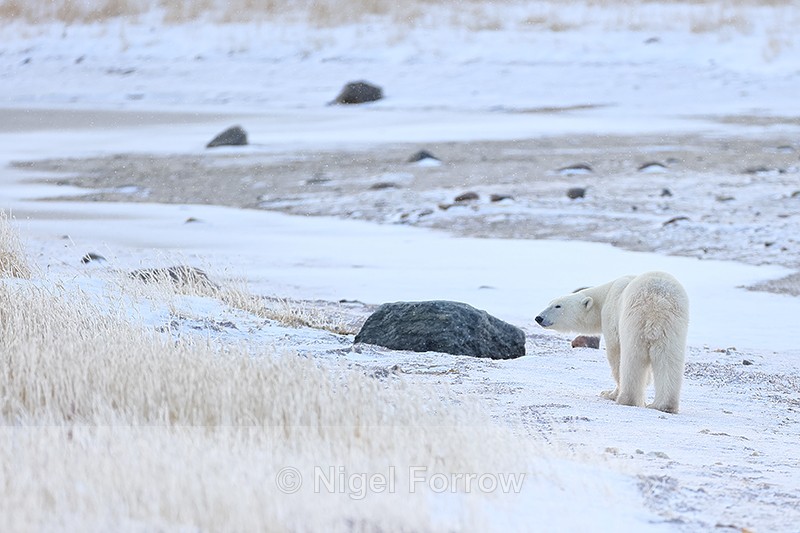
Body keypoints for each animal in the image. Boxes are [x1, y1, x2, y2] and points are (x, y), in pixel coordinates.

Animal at [535, 271, 689, 414]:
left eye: (558, 306)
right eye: (550, 303)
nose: (539, 318)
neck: (605, 294)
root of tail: (658, 301)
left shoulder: (611, 315)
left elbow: (615, 353)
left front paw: (609, 393)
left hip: (635, 320)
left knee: (631, 358)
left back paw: (627, 399)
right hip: (673, 327)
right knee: (669, 360)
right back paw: (663, 405)